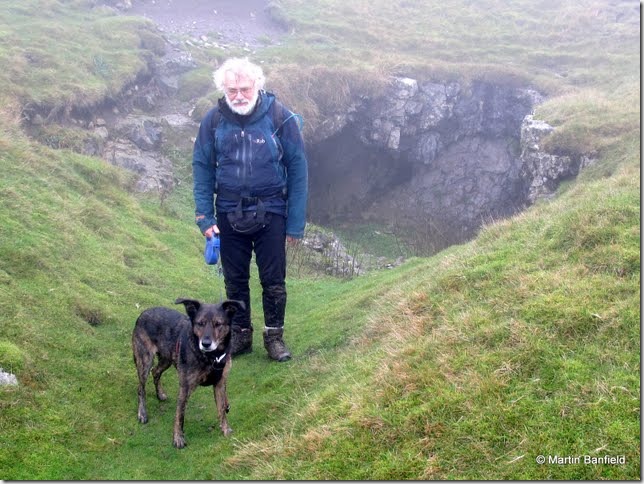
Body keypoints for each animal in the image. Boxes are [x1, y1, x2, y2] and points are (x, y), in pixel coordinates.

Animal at [132, 297, 244, 448]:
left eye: (218, 324)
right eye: (200, 323)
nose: (206, 343)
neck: (211, 357)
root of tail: (143, 313)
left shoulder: (220, 384)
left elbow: (221, 410)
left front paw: (226, 430)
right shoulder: (185, 387)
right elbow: (180, 415)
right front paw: (178, 438)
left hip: (167, 359)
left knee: (155, 371)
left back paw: (160, 394)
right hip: (145, 361)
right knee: (141, 387)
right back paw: (142, 413)